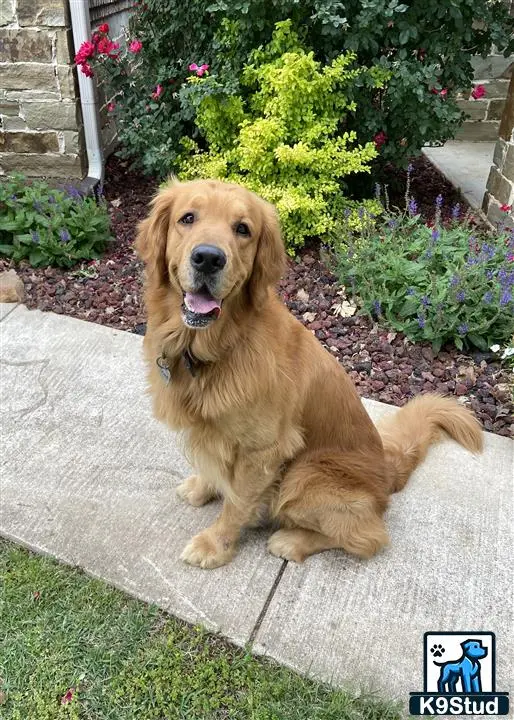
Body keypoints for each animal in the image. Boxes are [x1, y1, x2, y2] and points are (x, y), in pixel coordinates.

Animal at [135, 180, 480, 568]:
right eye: (187, 218)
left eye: (243, 229)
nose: (208, 258)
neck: (218, 346)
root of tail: (388, 471)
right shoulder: (213, 434)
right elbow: (216, 470)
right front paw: (202, 487)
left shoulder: (263, 450)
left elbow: (236, 503)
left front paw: (215, 545)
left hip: (305, 474)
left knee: (370, 537)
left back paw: (292, 540)